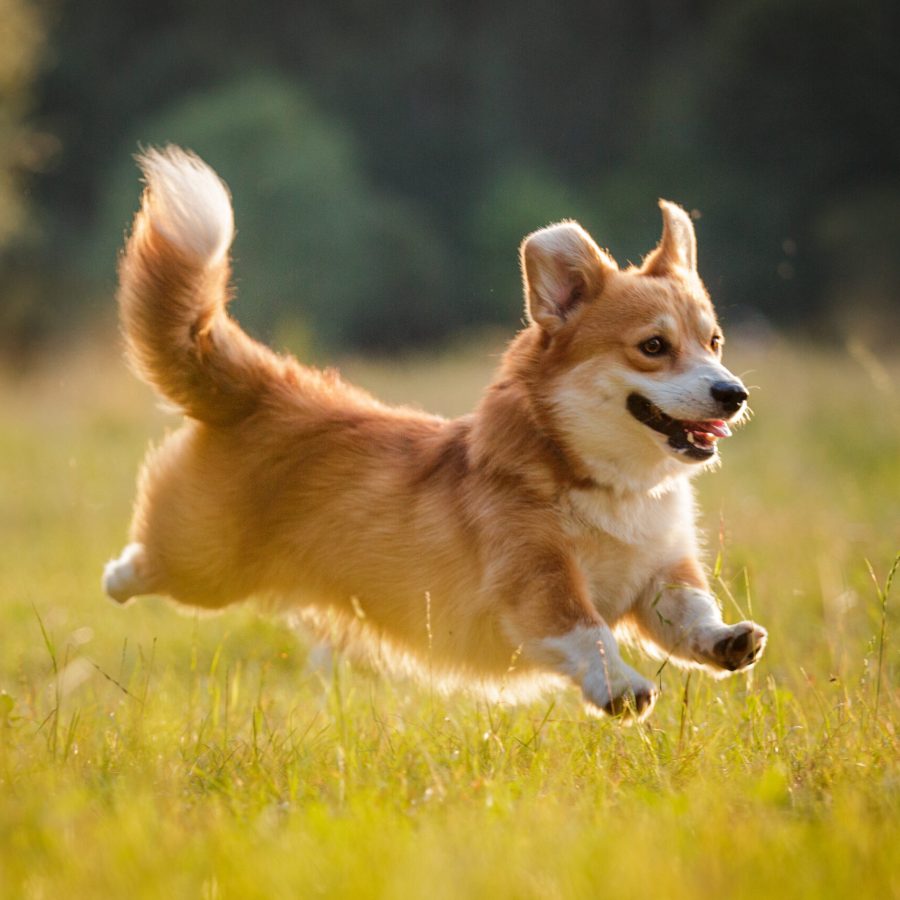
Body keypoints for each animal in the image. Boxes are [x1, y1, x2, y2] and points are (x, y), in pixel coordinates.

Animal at [103, 149, 768, 724]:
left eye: (713, 342)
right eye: (653, 346)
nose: (733, 394)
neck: (608, 483)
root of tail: (266, 386)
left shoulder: (661, 573)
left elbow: (689, 613)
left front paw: (728, 640)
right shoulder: (537, 579)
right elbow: (590, 632)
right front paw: (624, 688)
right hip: (205, 563)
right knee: (147, 561)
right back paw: (117, 578)